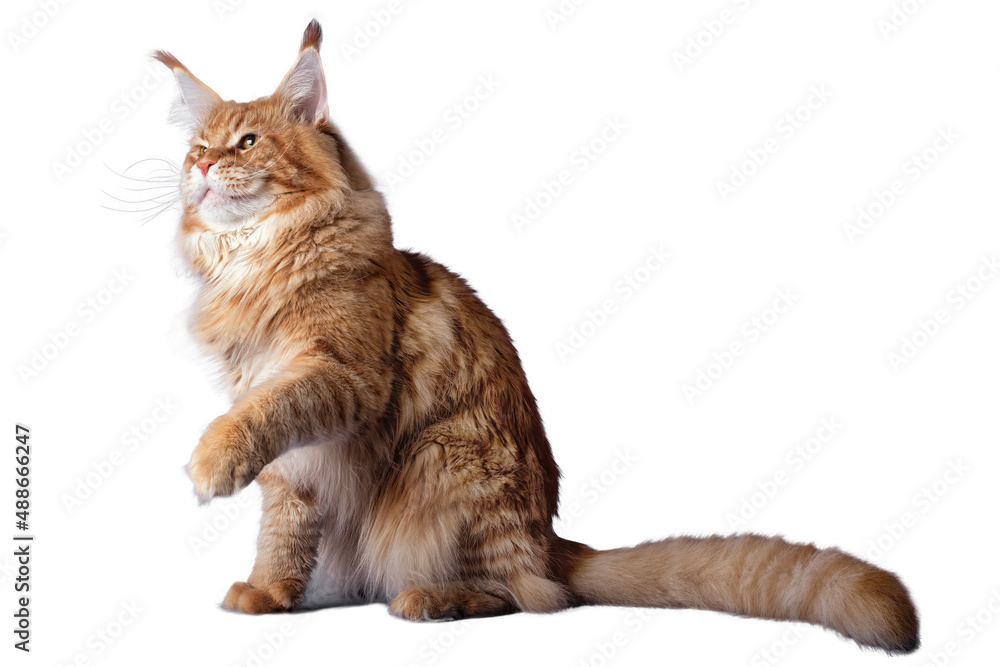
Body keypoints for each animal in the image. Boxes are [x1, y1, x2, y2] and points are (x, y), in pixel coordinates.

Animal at [154, 19, 920, 652]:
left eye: (246, 142)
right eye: (196, 147)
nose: (201, 166)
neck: (256, 260)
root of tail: (552, 541)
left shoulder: (339, 374)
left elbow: (262, 417)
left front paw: (211, 463)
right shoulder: (292, 461)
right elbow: (282, 530)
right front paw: (268, 593)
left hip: (443, 460)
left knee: (527, 595)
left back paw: (429, 599)